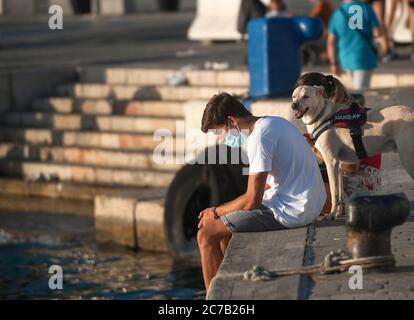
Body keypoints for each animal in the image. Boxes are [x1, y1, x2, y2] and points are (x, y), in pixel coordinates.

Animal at [292, 85, 414, 218]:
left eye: (305, 96)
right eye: (294, 96)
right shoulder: (339, 165)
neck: (321, 114)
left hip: (407, 159)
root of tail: (411, 112)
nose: (293, 105)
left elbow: (334, 192)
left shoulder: (331, 162)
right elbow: (340, 192)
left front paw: (332, 214)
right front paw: (338, 213)